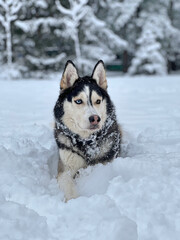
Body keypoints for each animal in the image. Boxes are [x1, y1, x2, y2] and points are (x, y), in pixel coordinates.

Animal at [53, 60, 121, 201]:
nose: (95, 119)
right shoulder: (65, 169)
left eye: (98, 101)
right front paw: (74, 201)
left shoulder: (106, 162)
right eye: (79, 101)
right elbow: (68, 185)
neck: (86, 142)